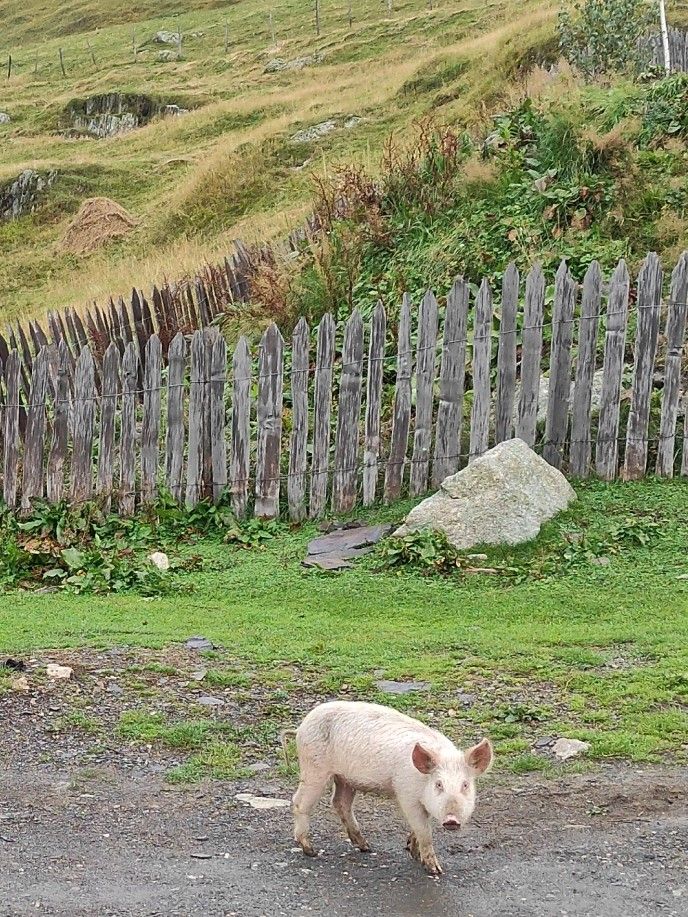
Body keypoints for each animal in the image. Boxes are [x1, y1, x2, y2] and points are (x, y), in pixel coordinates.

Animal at [291, 700, 493, 876]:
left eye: (465, 785)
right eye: (438, 784)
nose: (451, 820)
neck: (422, 782)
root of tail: (302, 726)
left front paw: (413, 852)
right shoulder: (406, 794)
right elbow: (424, 831)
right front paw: (435, 870)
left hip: (345, 778)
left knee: (340, 803)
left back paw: (365, 847)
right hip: (314, 768)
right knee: (299, 802)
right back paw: (310, 850)